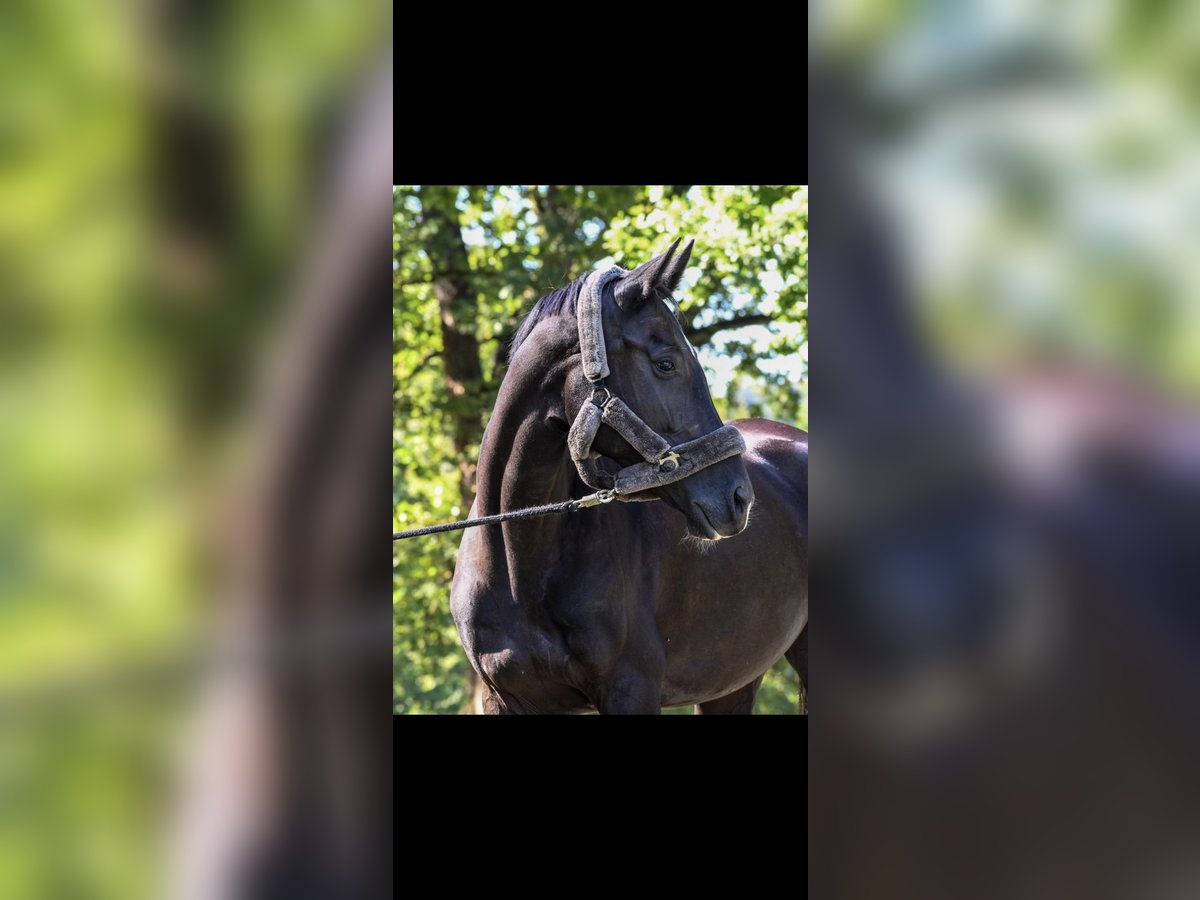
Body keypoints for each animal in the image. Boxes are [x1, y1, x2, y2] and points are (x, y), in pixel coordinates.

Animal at [449, 239, 808, 714]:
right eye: (666, 363)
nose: (738, 498)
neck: (518, 564)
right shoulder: (503, 699)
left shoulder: (630, 689)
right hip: (733, 681)